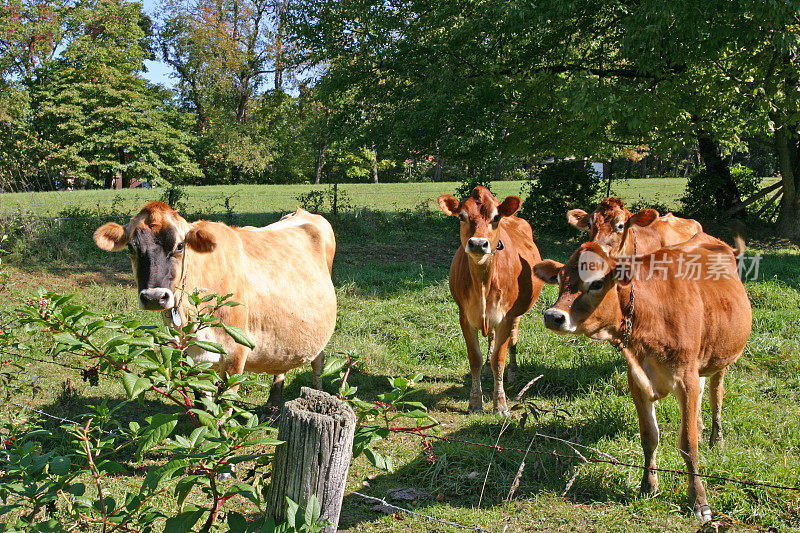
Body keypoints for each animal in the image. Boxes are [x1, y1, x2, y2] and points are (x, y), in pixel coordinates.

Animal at [94, 202, 338, 406]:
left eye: (180, 246)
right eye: (131, 248)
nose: (154, 297)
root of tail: (302, 213)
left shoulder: (236, 350)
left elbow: (223, 407)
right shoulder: (189, 355)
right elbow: (203, 403)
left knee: (318, 360)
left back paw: (317, 394)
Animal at [438, 187, 544, 416]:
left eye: (496, 217)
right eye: (462, 216)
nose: (478, 243)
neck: (483, 283)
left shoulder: (506, 317)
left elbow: (499, 359)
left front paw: (500, 404)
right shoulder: (464, 316)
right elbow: (475, 359)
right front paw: (475, 402)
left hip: (517, 313)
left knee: (513, 340)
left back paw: (513, 372)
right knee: (491, 340)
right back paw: (487, 372)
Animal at [536, 230, 752, 520]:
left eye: (596, 283)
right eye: (560, 279)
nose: (553, 316)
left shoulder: (686, 378)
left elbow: (688, 443)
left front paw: (699, 500)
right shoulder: (637, 379)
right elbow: (649, 436)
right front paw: (648, 486)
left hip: (721, 356)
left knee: (716, 394)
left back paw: (716, 438)